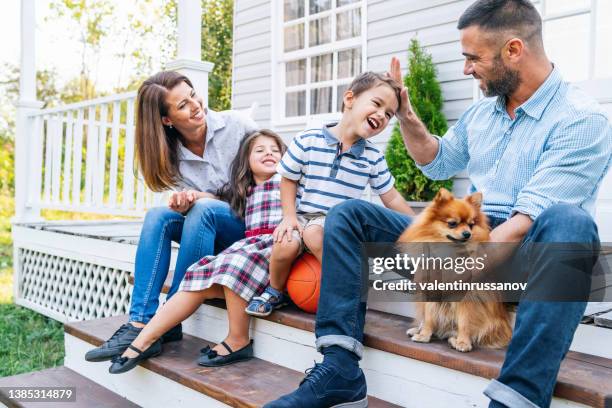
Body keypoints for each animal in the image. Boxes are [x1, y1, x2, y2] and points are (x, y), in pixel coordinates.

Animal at [402, 190, 512, 352]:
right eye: (452, 223)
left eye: (471, 225)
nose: (467, 233)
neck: (449, 253)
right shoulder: (430, 289)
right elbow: (429, 317)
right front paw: (424, 335)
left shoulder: (466, 298)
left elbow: (464, 321)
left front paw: (463, 342)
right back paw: (419, 329)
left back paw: (454, 339)